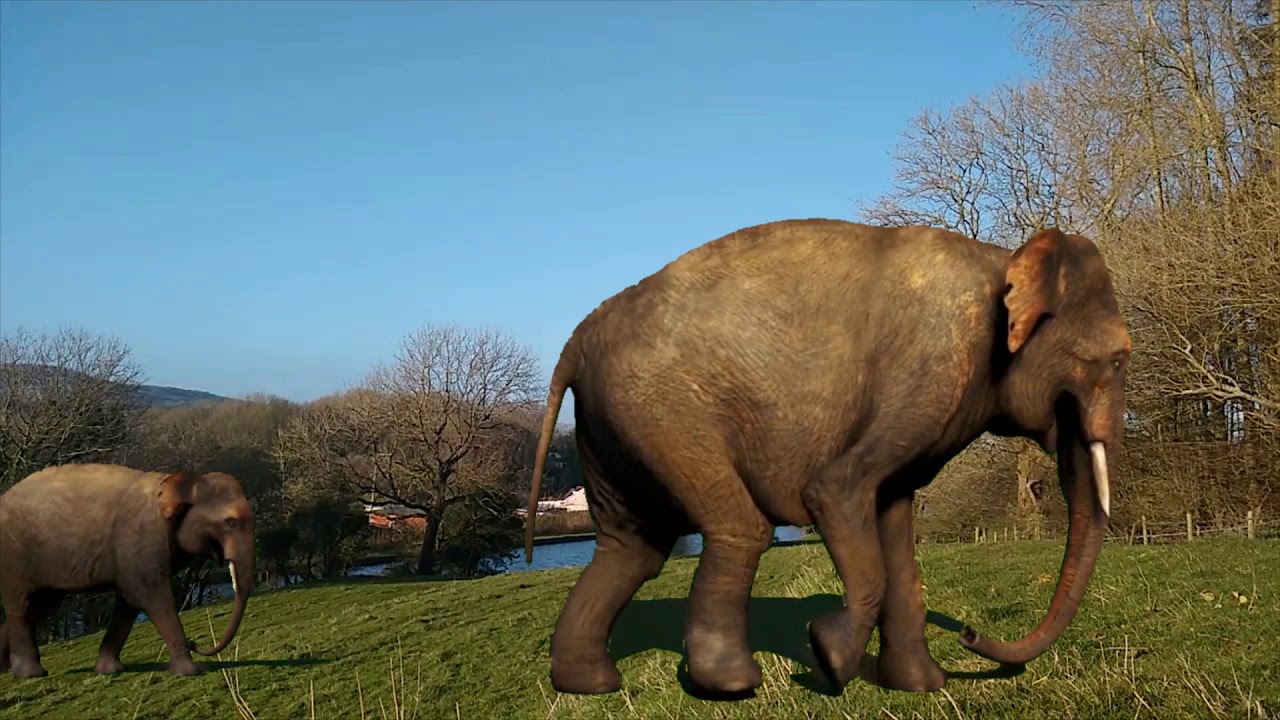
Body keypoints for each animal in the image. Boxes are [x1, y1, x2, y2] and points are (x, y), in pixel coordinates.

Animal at [0, 463, 256, 678]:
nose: (195, 643)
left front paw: (110, 670)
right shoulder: (140, 539)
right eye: (231, 522)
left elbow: (129, 603)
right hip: (14, 557)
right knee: (23, 608)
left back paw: (8, 669)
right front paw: (192, 671)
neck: (171, 482)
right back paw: (31, 674)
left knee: (40, 608)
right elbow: (150, 597)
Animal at [523, 219, 1129, 697]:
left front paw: (919, 686)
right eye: (1120, 360)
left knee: (631, 549)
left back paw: (590, 684)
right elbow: (836, 490)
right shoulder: (937, 362)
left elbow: (893, 518)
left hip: (612, 424)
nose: (970, 634)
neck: (1007, 257)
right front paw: (830, 659)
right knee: (738, 529)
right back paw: (732, 686)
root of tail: (577, 339)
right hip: (665, 412)